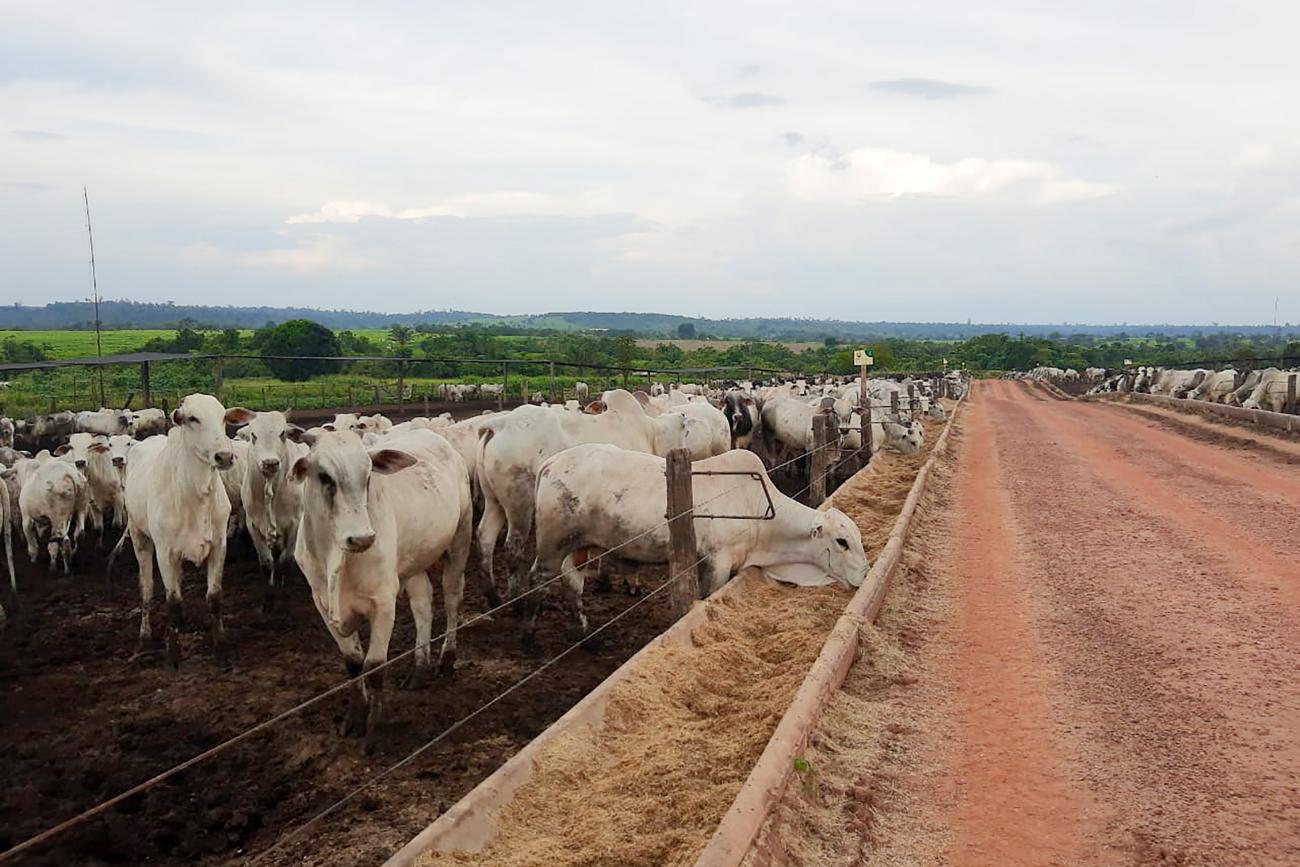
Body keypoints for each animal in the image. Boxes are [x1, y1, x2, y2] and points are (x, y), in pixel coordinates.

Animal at [119, 397, 256, 670]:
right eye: (192, 418)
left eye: (223, 417)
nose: (224, 456)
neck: (195, 494)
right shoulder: (165, 553)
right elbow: (173, 603)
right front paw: (173, 654)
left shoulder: (219, 546)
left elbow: (214, 597)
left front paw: (220, 646)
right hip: (139, 537)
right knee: (147, 589)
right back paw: (145, 636)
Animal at [293, 426, 473, 748]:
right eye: (324, 476)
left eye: (368, 476)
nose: (362, 538)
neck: (335, 557)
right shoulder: (323, 605)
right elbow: (353, 664)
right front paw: (355, 718)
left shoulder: (383, 603)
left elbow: (374, 666)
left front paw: (373, 730)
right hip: (413, 563)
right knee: (423, 605)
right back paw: (419, 669)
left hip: (459, 542)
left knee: (452, 600)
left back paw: (447, 659)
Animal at [527, 447, 873, 644]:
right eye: (842, 541)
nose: (865, 575)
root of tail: (551, 462)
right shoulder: (717, 561)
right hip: (551, 546)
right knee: (537, 580)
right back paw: (529, 635)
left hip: (577, 546)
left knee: (573, 583)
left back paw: (585, 633)